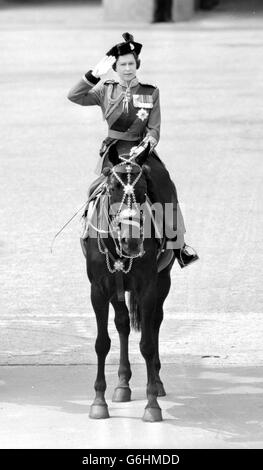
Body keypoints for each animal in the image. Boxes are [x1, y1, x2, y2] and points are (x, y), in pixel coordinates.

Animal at [83, 144, 176, 422]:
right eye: (113, 186)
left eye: (144, 188)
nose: (132, 242)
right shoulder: (99, 289)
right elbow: (102, 343)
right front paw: (99, 402)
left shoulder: (147, 287)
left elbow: (147, 343)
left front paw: (152, 405)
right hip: (117, 287)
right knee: (123, 323)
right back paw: (122, 384)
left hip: (163, 280)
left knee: (154, 322)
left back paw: (156, 381)